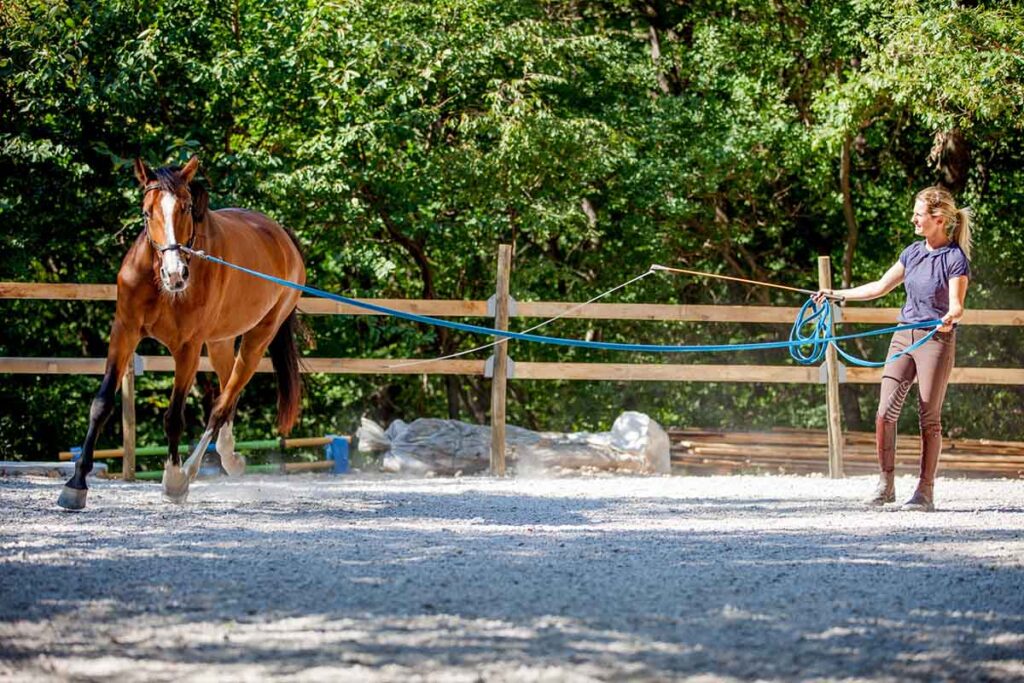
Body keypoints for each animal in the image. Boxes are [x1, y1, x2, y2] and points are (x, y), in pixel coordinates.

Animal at [58, 154, 305, 507]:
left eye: (186, 208)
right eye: (146, 212)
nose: (176, 274)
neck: (158, 282)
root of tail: (282, 237)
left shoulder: (187, 348)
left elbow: (174, 416)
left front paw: (173, 479)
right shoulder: (124, 332)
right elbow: (101, 403)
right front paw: (76, 483)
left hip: (257, 340)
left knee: (222, 404)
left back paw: (190, 471)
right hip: (221, 342)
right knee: (227, 392)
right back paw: (230, 457)